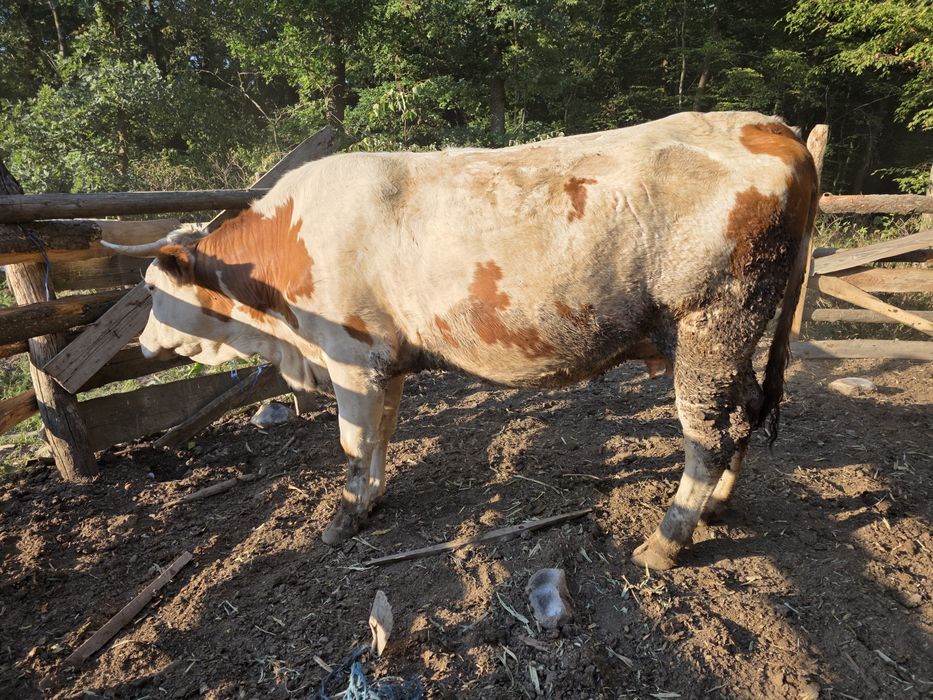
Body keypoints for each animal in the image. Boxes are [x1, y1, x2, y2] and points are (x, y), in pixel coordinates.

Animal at [105, 111, 818, 570]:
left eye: (152, 292)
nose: (144, 345)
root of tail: (769, 125)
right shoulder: (384, 362)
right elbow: (381, 438)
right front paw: (372, 498)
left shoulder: (351, 359)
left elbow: (352, 442)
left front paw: (342, 520)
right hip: (728, 340)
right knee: (746, 414)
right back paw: (718, 508)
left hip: (710, 326)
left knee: (708, 436)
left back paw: (667, 541)